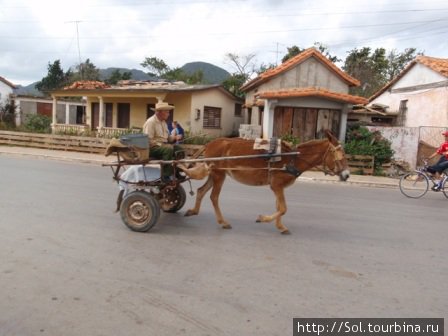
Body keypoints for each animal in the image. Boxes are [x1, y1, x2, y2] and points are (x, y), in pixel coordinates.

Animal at [185, 129, 350, 234]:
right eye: (340, 155)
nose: (347, 175)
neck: (294, 158)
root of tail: (209, 143)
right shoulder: (276, 185)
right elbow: (283, 208)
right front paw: (263, 219)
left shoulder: (278, 187)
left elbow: (279, 207)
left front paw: (280, 226)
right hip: (219, 175)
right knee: (214, 197)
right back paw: (223, 222)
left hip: (215, 174)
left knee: (201, 191)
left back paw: (193, 211)